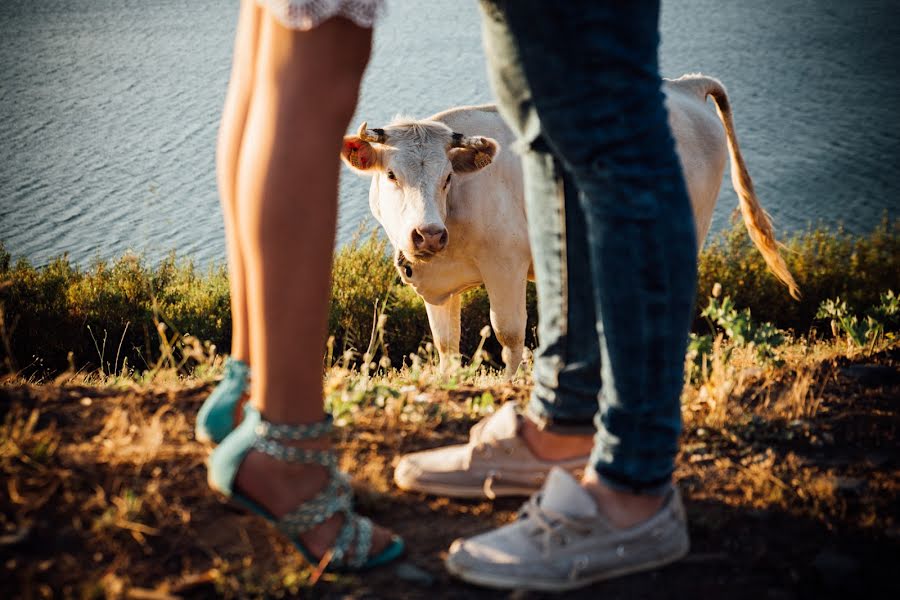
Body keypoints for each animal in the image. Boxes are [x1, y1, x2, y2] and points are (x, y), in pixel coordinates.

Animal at [342, 74, 800, 376]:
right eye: (391, 175)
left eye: (447, 177)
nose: (430, 234)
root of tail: (684, 86)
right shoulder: (437, 285)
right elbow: (446, 344)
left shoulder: (505, 264)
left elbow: (508, 334)